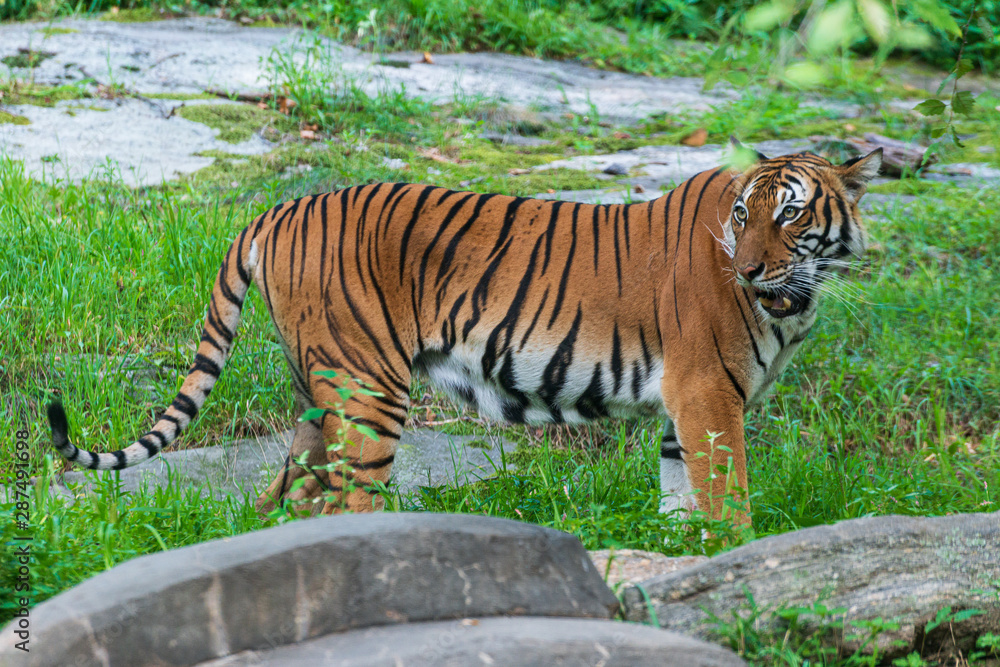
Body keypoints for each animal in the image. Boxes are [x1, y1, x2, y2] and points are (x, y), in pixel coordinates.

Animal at [47, 140, 882, 527]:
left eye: (791, 213)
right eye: (744, 215)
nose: (747, 269)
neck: (796, 297)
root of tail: (279, 208)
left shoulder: (685, 410)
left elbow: (684, 505)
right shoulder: (709, 396)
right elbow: (729, 501)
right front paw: (736, 548)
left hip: (319, 394)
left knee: (284, 497)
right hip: (368, 389)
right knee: (346, 503)